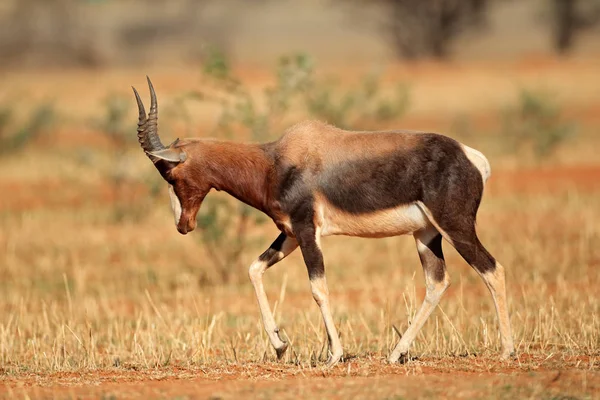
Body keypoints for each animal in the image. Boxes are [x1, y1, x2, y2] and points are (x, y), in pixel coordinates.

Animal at [132, 77, 516, 366]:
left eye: (169, 172)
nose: (183, 225)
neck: (277, 160)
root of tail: (472, 157)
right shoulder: (289, 234)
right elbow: (254, 269)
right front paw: (280, 345)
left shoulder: (307, 231)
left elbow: (318, 288)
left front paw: (334, 355)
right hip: (426, 235)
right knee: (437, 282)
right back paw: (395, 354)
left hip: (456, 227)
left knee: (492, 269)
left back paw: (507, 351)